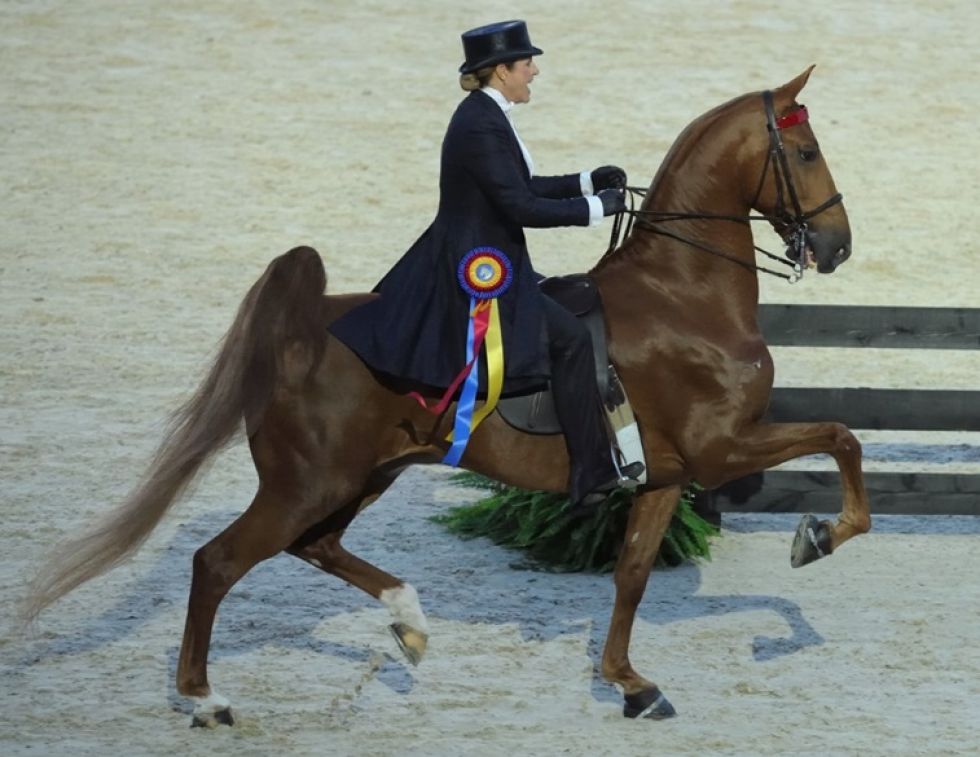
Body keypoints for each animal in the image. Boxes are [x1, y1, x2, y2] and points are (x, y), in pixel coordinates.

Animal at [24, 65, 869, 724]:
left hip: (361, 475)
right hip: (310, 481)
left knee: (313, 546)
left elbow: (631, 575)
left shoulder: (665, 474)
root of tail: (299, 333)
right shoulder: (720, 448)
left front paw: (631, 684)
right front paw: (818, 536)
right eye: (805, 151)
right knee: (219, 560)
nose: (837, 247)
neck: (683, 293)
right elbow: (842, 436)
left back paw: (408, 620)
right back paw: (206, 698)